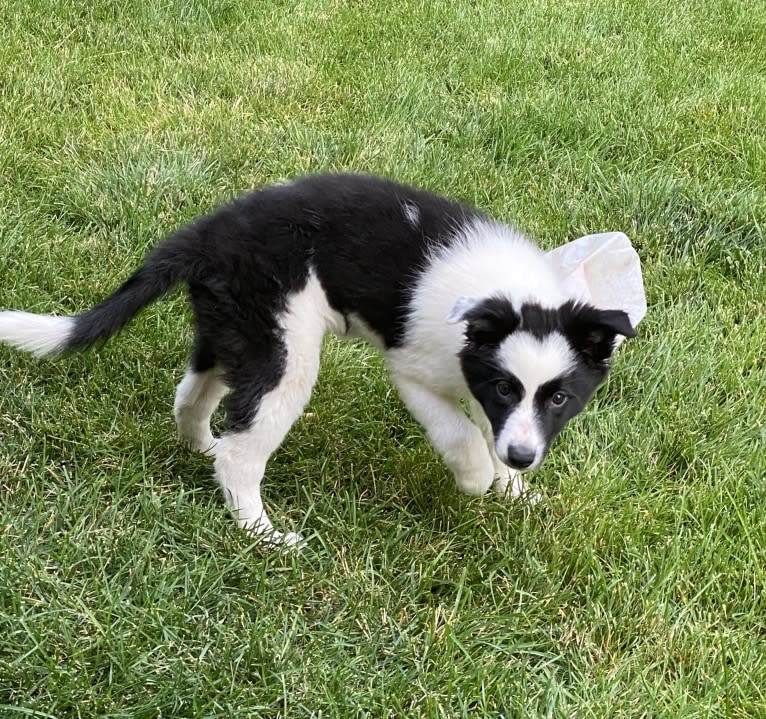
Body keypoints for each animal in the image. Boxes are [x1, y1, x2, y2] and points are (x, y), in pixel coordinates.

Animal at [0, 174, 636, 544]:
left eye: (560, 398)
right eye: (508, 388)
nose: (523, 457)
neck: (502, 295)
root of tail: (207, 236)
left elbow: (485, 429)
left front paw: (515, 489)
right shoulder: (417, 372)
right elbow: (458, 432)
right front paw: (480, 478)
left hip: (239, 331)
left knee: (195, 396)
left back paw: (200, 446)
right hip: (284, 351)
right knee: (242, 451)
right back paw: (263, 534)